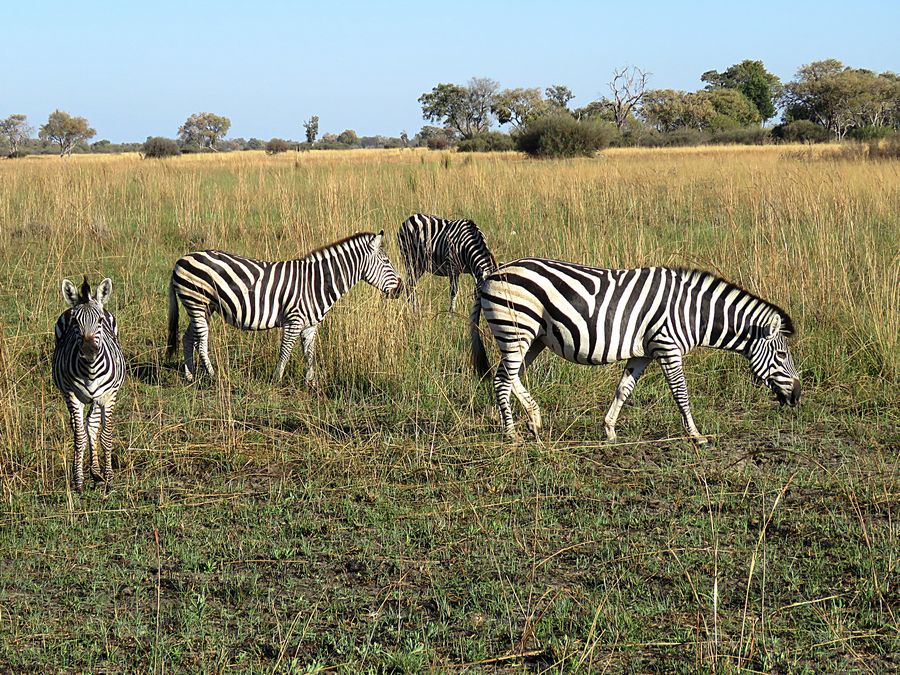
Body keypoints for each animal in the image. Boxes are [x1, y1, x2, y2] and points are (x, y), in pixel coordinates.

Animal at [52, 278, 126, 494]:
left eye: (99, 321)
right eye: (75, 322)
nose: (89, 353)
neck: (90, 371)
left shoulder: (108, 397)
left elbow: (105, 437)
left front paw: (109, 479)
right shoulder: (72, 396)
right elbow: (79, 438)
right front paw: (78, 481)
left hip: (98, 398)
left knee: (92, 426)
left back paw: (98, 475)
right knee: (81, 427)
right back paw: (93, 473)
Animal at [166, 230, 404, 382]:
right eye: (386, 263)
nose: (401, 289)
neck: (316, 282)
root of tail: (182, 258)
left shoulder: (310, 325)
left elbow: (310, 354)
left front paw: (311, 383)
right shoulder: (294, 320)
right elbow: (286, 352)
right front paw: (276, 379)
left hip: (203, 308)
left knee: (188, 338)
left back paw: (190, 375)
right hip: (197, 302)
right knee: (201, 342)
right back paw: (213, 375)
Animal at [472, 262, 800, 446]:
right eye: (782, 357)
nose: (797, 397)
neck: (693, 313)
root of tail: (491, 274)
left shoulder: (643, 353)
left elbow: (623, 389)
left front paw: (609, 430)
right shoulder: (668, 347)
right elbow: (681, 393)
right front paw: (696, 435)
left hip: (532, 337)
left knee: (510, 375)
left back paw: (534, 419)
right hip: (516, 328)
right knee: (502, 379)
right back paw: (512, 434)